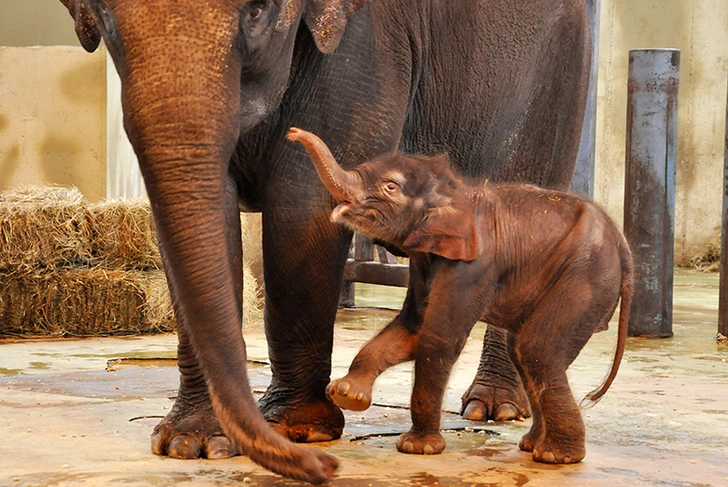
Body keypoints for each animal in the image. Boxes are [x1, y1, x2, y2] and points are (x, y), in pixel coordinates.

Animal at [58, 0, 592, 482]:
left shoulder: (369, 43)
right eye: (105, 16)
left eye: (257, 12)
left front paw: (298, 430)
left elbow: (302, 203)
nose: (324, 468)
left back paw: (493, 410)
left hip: (560, 68)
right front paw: (191, 444)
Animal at [288, 127, 636, 466]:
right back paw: (532, 446)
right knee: (526, 352)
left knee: (538, 348)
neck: (454, 191)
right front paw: (347, 394)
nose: (292, 133)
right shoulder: (424, 262)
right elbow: (411, 328)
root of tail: (624, 249)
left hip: (587, 277)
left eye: (390, 187)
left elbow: (438, 338)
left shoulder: (473, 267)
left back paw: (556, 456)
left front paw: (417, 448)